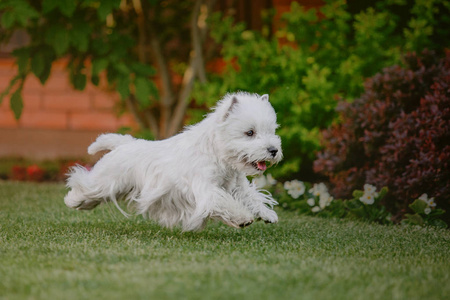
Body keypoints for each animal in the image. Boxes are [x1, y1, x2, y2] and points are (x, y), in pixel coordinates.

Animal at [64, 92, 282, 231]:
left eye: (272, 131)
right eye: (250, 132)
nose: (274, 150)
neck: (217, 154)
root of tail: (123, 144)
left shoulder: (236, 186)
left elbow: (252, 196)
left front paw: (267, 214)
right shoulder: (206, 189)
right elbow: (225, 203)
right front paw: (243, 218)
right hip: (106, 180)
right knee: (82, 183)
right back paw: (72, 200)